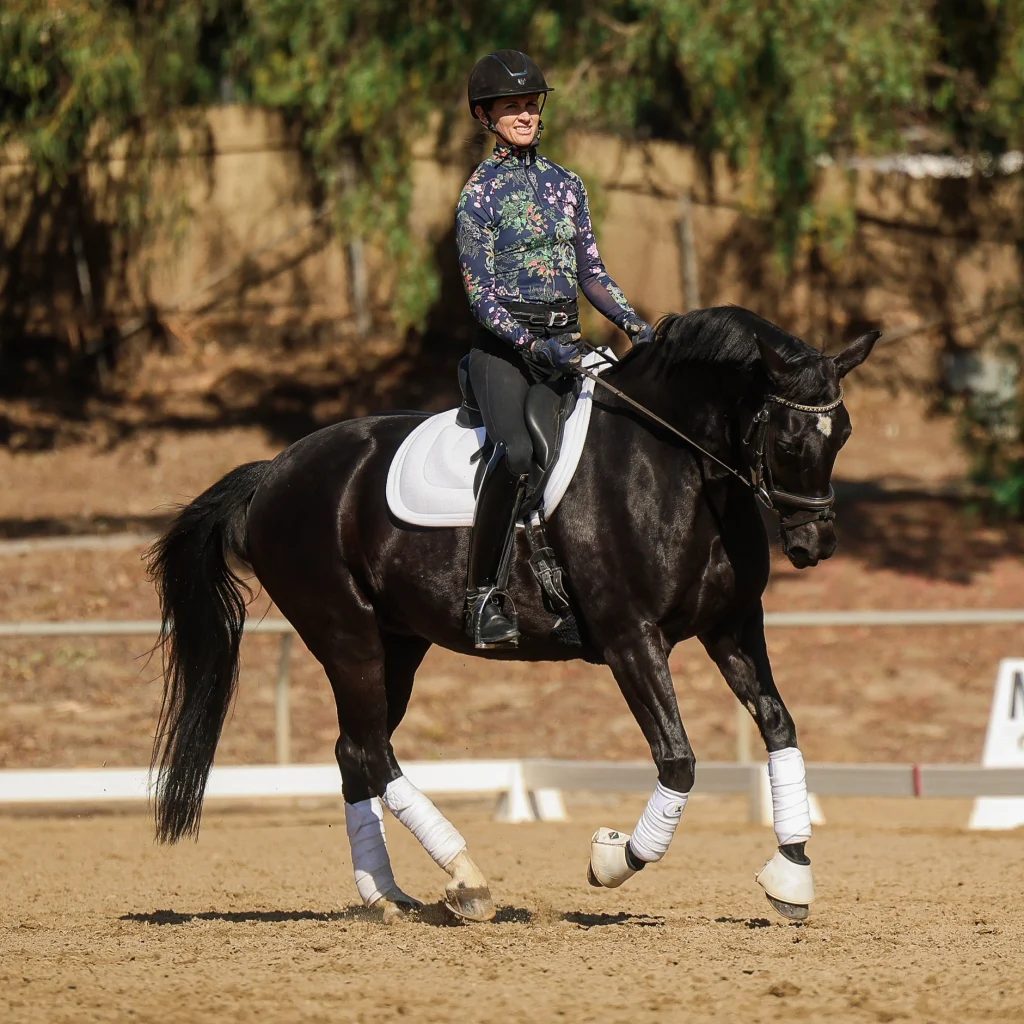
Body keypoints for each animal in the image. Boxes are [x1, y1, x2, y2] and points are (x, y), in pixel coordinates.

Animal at [148, 305, 879, 923]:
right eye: (789, 437)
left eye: (843, 433)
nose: (815, 545)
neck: (673, 465)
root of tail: (274, 470)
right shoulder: (630, 637)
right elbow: (678, 759)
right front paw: (613, 858)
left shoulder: (731, 625)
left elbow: (780, 727)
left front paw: (791, 876)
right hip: (344, 632)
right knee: (374, 750)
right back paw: (466, 880)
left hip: (398, 642)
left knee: (354, 749)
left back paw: (386, 895)